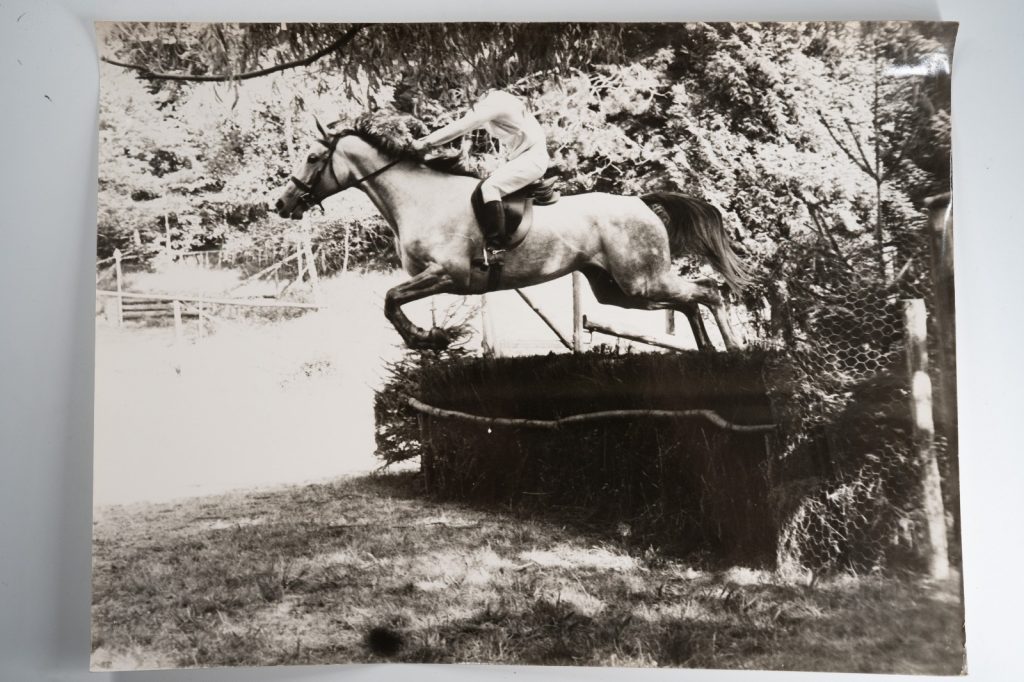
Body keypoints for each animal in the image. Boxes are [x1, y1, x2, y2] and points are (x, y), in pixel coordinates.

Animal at [273, 116, 751, 352]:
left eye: (312, 157)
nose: (281, 203)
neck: (419, 198)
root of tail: (640, 202)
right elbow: (392, 303)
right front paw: (430, 339)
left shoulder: (448, 275)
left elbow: (391, 300)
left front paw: (428, 339)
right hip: (619, 290)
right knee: (690, 301)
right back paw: (708, 353)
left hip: (641, 280)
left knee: (708, 291)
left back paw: (732, 350)